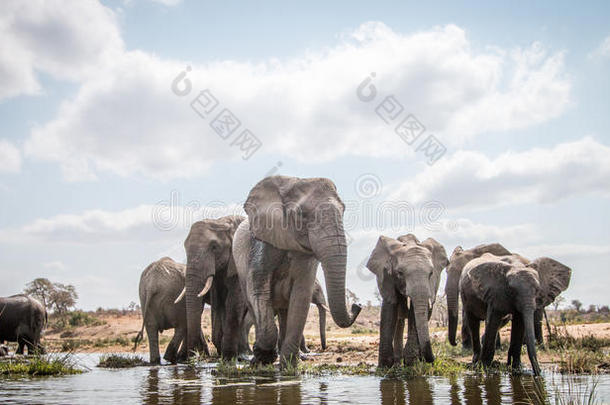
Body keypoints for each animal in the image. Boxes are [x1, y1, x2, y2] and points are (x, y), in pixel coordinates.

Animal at [178, 216, 247, 358]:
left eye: (214, 247)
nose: (194, 355)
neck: (222, 221)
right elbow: (218, 302)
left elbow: (234, 301)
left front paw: (228, 356)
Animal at [232, 175, 356, 368]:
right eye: (301, 215)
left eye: (343, 211)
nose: (357, 306)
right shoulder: (262, 244)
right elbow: (259, 291)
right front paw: (263, 358)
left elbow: (301, 296)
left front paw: (289, 367)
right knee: (253, 306)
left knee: (284, 312)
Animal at [366, 232, 446, 368]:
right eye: (400, 273)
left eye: (431, 273)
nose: (433, 359)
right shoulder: (386, 276)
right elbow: (389, 309)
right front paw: (384, 366)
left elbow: (415, 313)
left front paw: (411, 362)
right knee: (399, 321)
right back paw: (397, 363)